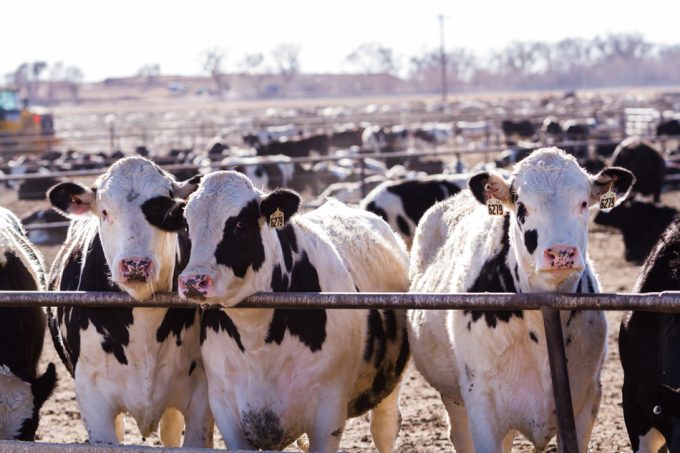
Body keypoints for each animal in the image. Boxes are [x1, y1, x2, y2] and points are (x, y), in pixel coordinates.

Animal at [177, 171, 410, 453]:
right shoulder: (225, 407)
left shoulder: (328, 413)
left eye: (240, 224)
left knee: (384, 428)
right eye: (186, 227)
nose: (193, 281)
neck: (257, 339)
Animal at [407, 147, 634, 452]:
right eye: (522, 206)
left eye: (584, 203)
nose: (561, 253)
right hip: (455, 402)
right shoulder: (481, 404)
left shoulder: (585, 400)